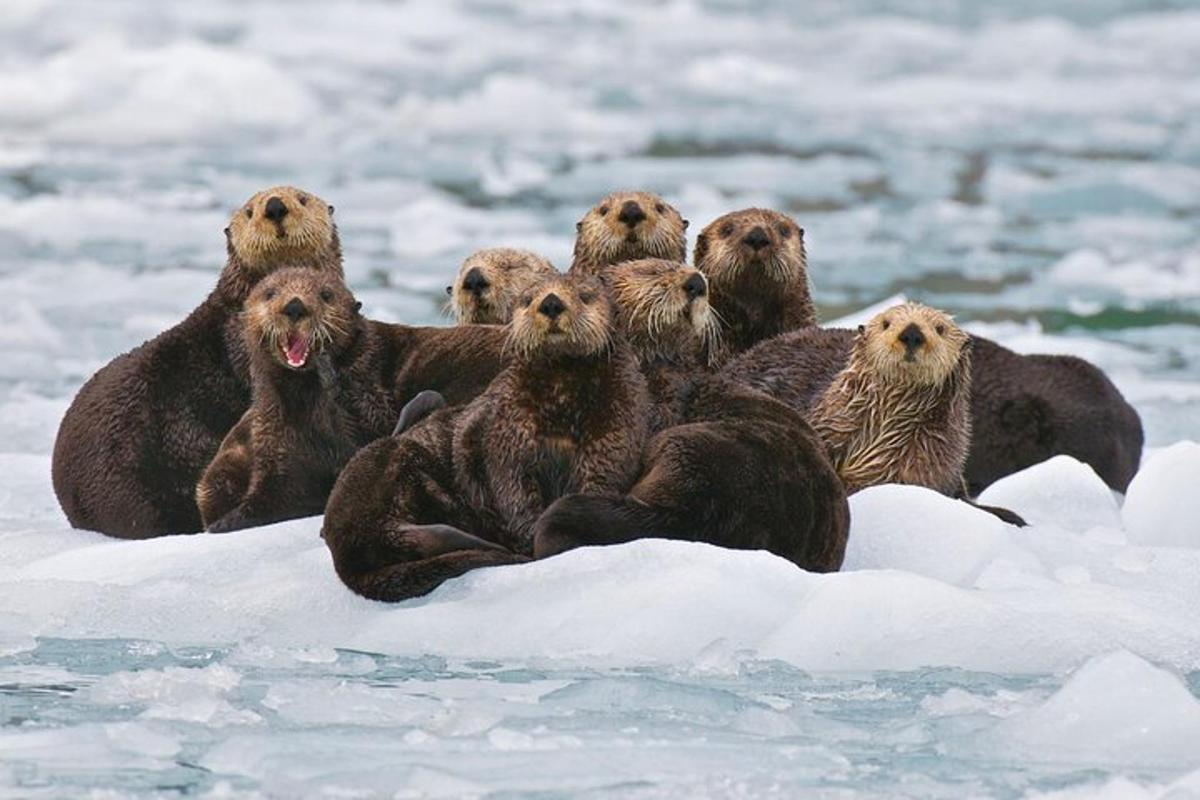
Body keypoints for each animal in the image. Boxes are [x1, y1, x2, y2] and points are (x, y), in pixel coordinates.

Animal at [324, 273, 652, 599]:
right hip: (380, 466)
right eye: (528, 299)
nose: (551, 302)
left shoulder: (611, 434)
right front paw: (530, 536)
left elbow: (600, 479)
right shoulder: (510, 434)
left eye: (585, 295)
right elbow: (511, 486)